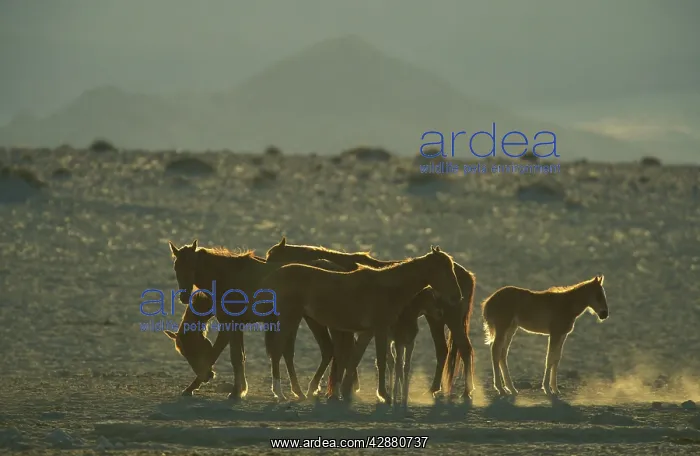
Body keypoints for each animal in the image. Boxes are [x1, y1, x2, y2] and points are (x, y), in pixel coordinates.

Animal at [265, 236, 477, 401]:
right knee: (278, 349)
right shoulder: (377, 329)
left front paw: (346, 391)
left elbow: (355, 357)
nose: (456, 296)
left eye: (450, 269)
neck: (386, 287)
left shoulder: (367, 331)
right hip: (291, 319)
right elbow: (376, 360)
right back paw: (281, 392)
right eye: (443, 270)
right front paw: (383, 395)